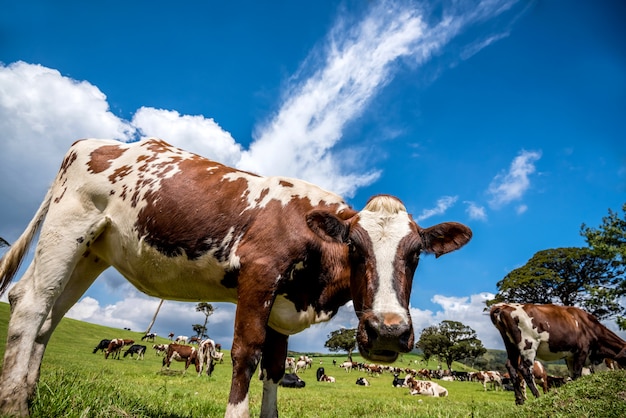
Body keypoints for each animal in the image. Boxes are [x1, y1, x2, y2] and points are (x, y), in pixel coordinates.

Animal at [0, 139, 468, 416]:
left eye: (417, 254)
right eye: (354, 246)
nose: (388, 332)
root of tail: (91, 142)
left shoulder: (283, 308)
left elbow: (274, 370)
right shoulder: (257, 279)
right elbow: (246, 356)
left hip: (92, 250)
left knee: (49, 316)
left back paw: (29, 396)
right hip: (68, 223)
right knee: (31, 304)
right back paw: (14, 404)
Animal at [488, 304, 624, 404]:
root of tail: (504, 306)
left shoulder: (570, 356)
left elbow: (574, 375)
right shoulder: (582, 351)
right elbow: (577, 374)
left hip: (511, 345)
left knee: (511, 366)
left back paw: (520, 400)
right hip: (528, 344)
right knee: (524, 369)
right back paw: (538, 397)